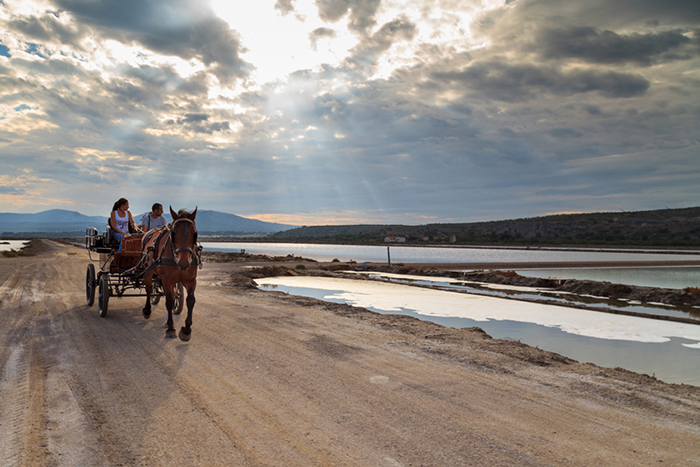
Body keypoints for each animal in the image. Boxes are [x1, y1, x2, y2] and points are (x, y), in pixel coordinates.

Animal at [140, 207, 200, 340]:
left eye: (195, 234)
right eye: (173, 233)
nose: (184, 263)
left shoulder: (191, 280)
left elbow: (190, 300)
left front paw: (186, 330)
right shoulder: (167, 280)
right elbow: (169, 301)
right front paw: (171, 328)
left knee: (172, 294)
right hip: (148, 271)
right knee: (148, 289)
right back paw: (147, 310)